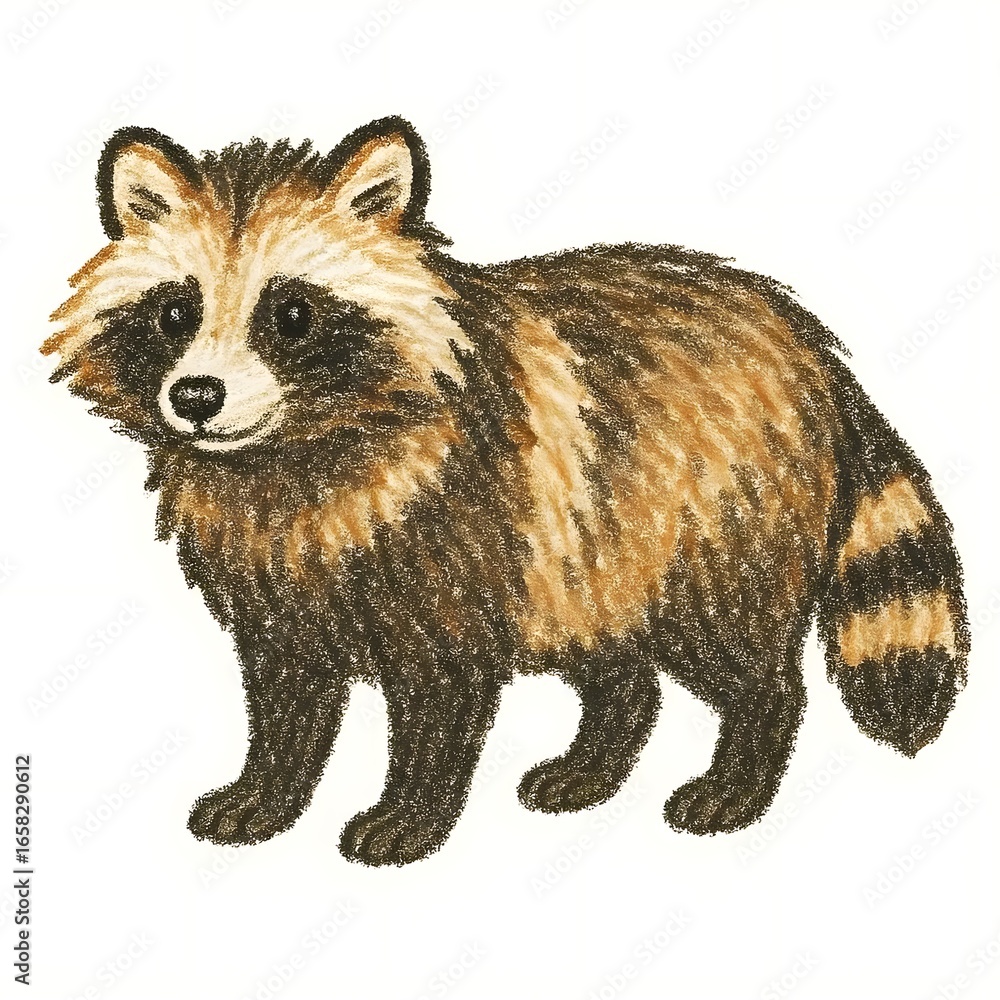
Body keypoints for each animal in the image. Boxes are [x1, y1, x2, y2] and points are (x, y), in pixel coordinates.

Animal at [44, 116, 969, 866]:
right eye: (175, 312)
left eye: (292, 314)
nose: (196, 397)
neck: (291, 453)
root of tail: (809, 345)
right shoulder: (277, 576)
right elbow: (285, 690)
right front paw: (267, 787)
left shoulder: (459, 526)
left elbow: (441, 694)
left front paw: (410, 808)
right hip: (597, 535)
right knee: (616, 661)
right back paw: (594, 760)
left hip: (714, 512)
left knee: (742, 655)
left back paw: (740, 771)